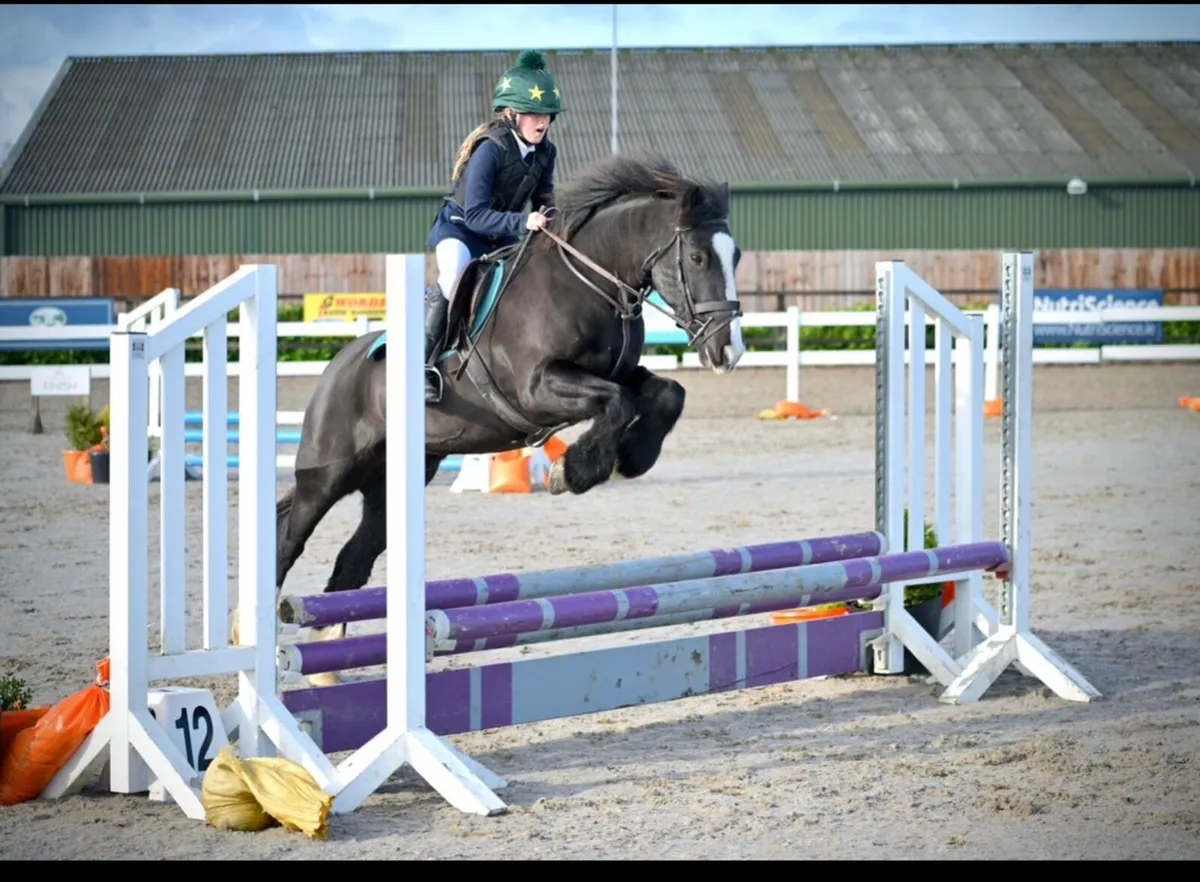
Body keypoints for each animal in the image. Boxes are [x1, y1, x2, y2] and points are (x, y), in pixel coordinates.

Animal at [270, 152, 746, 683]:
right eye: (699, 258)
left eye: (736, 257)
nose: (729, 352)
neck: (592, 282)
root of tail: (338, 363)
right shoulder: (538, 387)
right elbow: (617, 402)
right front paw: (572, 472)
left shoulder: (621, 374)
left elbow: (666, 393)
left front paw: (630, 459)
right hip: (329, 473)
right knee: (288, 542)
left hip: (392, 481)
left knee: (353, 560)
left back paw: (325, 668)